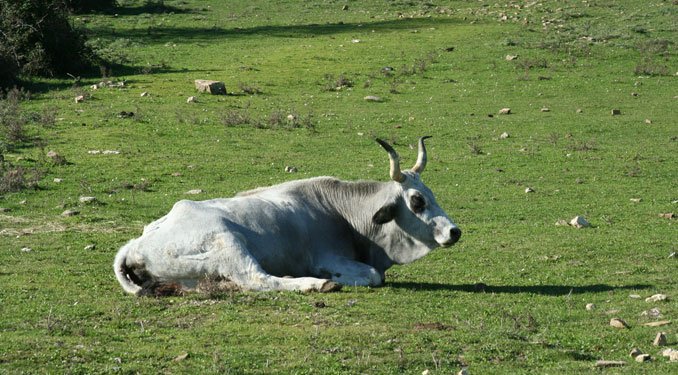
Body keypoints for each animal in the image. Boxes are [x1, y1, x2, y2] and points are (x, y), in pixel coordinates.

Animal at [114, 138, 462, 296]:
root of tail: (134, 246)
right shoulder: (328, 257)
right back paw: (316, 284)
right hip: (230, 246)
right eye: (417, 201)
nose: (454, 231)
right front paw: (336, 278)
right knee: (258, 279)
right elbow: (374, 276)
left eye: (430, 194)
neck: (344, 213)